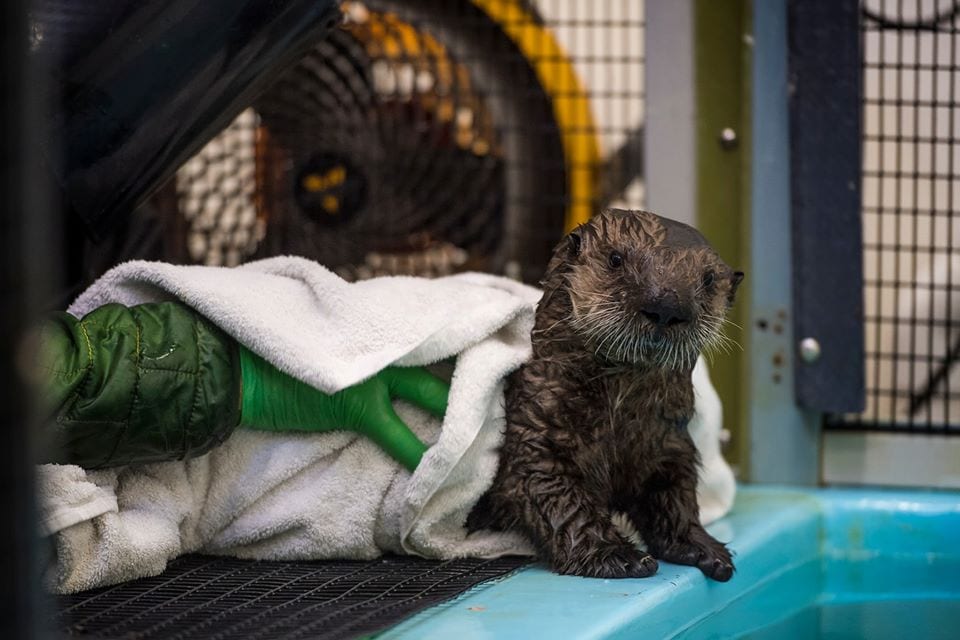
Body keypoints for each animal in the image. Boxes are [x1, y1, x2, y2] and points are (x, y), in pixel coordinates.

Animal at [468, 208, 744, 581]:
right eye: (615, 259)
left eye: (710, 279)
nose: (666, 304)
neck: (618, 418)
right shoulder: (537, 430)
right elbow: (559, 496)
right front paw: (618, 556)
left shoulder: (668, 440)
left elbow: (676, 494)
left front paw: (705, 548)